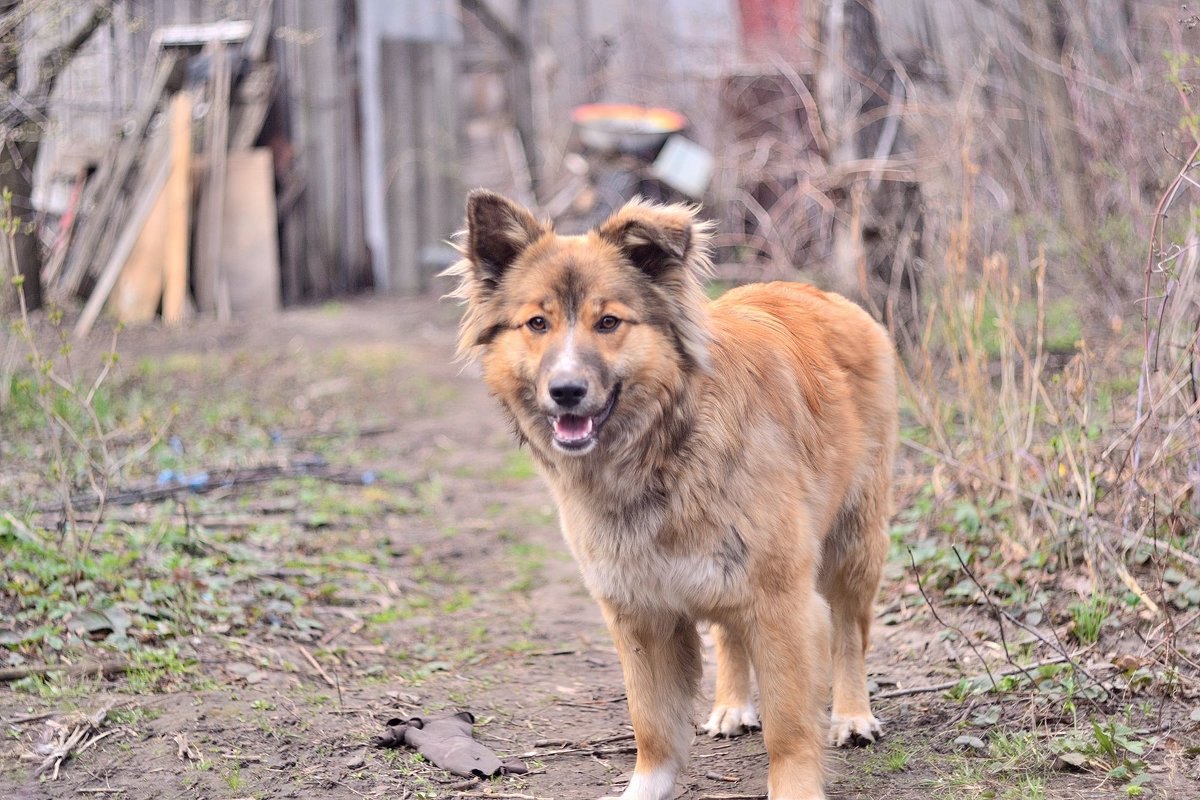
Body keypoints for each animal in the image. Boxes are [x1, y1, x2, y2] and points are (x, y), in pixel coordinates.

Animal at [446, 189, 897, 800]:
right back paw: (733, 705)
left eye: (608, 322)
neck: (660, 448)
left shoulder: (781, 602)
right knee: (730, 635)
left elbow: (789, 727)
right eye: (537, 323)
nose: (566, 391)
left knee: (850, 631)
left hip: (854, 539)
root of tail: (817, 291)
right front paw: (647, 785)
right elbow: (652, 723)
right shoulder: (639, 610)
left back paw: (852, 716)